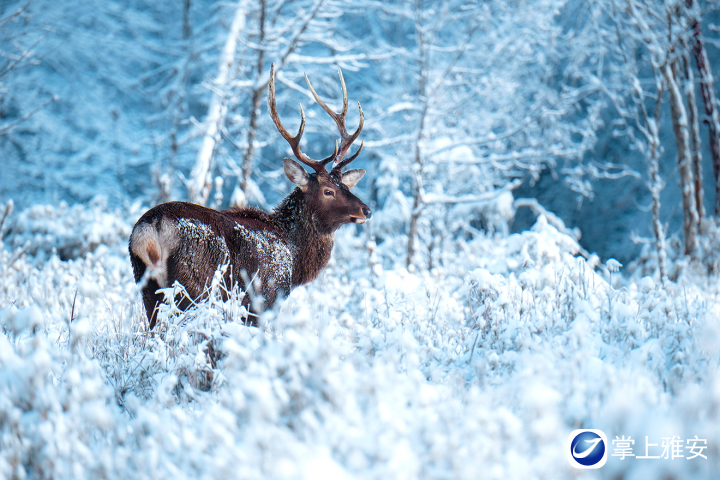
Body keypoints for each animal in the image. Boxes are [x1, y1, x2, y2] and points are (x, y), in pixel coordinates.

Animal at [130, 63, 374, 328]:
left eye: (346, 187)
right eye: (328, 191)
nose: (366, 210)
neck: (294, 256)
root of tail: (151, 227)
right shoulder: (264, 297)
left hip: (147, 287)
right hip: (194, 286)